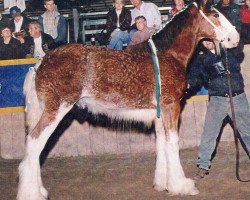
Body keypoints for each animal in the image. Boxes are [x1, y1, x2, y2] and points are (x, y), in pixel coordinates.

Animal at [16, 0, 239, 199]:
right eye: (215, 15)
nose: (235, 38)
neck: (167, 54)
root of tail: (39, 64)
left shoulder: (159, 113)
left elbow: (162, 144)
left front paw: (162, 183)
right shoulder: (171, 107)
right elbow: (173, 143)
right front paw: (181, 186)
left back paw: (39, 190)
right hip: (56, 109)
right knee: (35, 142)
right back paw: (31, 194)